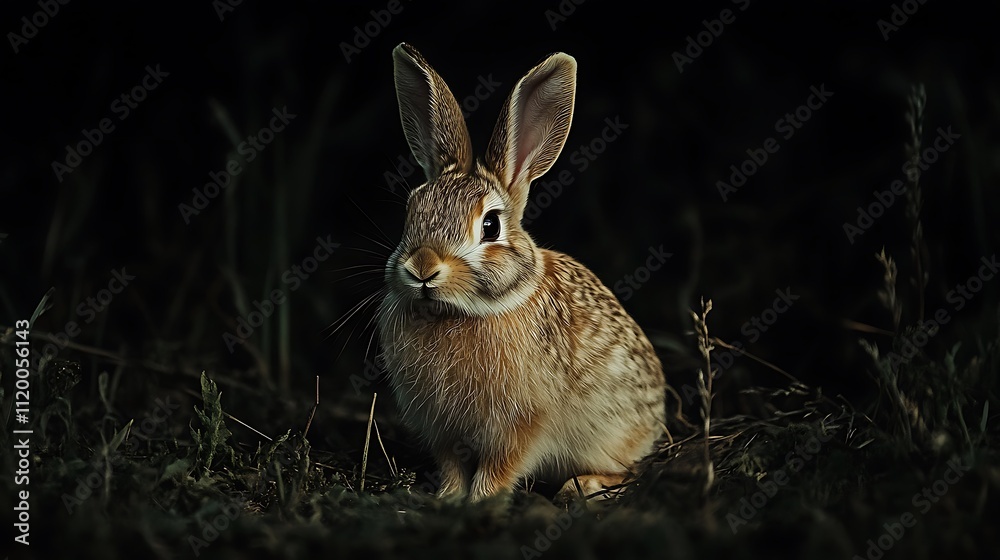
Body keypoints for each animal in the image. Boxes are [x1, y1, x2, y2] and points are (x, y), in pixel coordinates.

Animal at [377, 43, 666, 502]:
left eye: (491, 226)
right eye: (411, 212)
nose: (423, 267)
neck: (456, 313)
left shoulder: (519, 424)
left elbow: (500, 467)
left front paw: (480, 501)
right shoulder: (442, 430)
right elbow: (451, 465)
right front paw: (447, 499)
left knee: (629, 468)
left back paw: (582, 487)